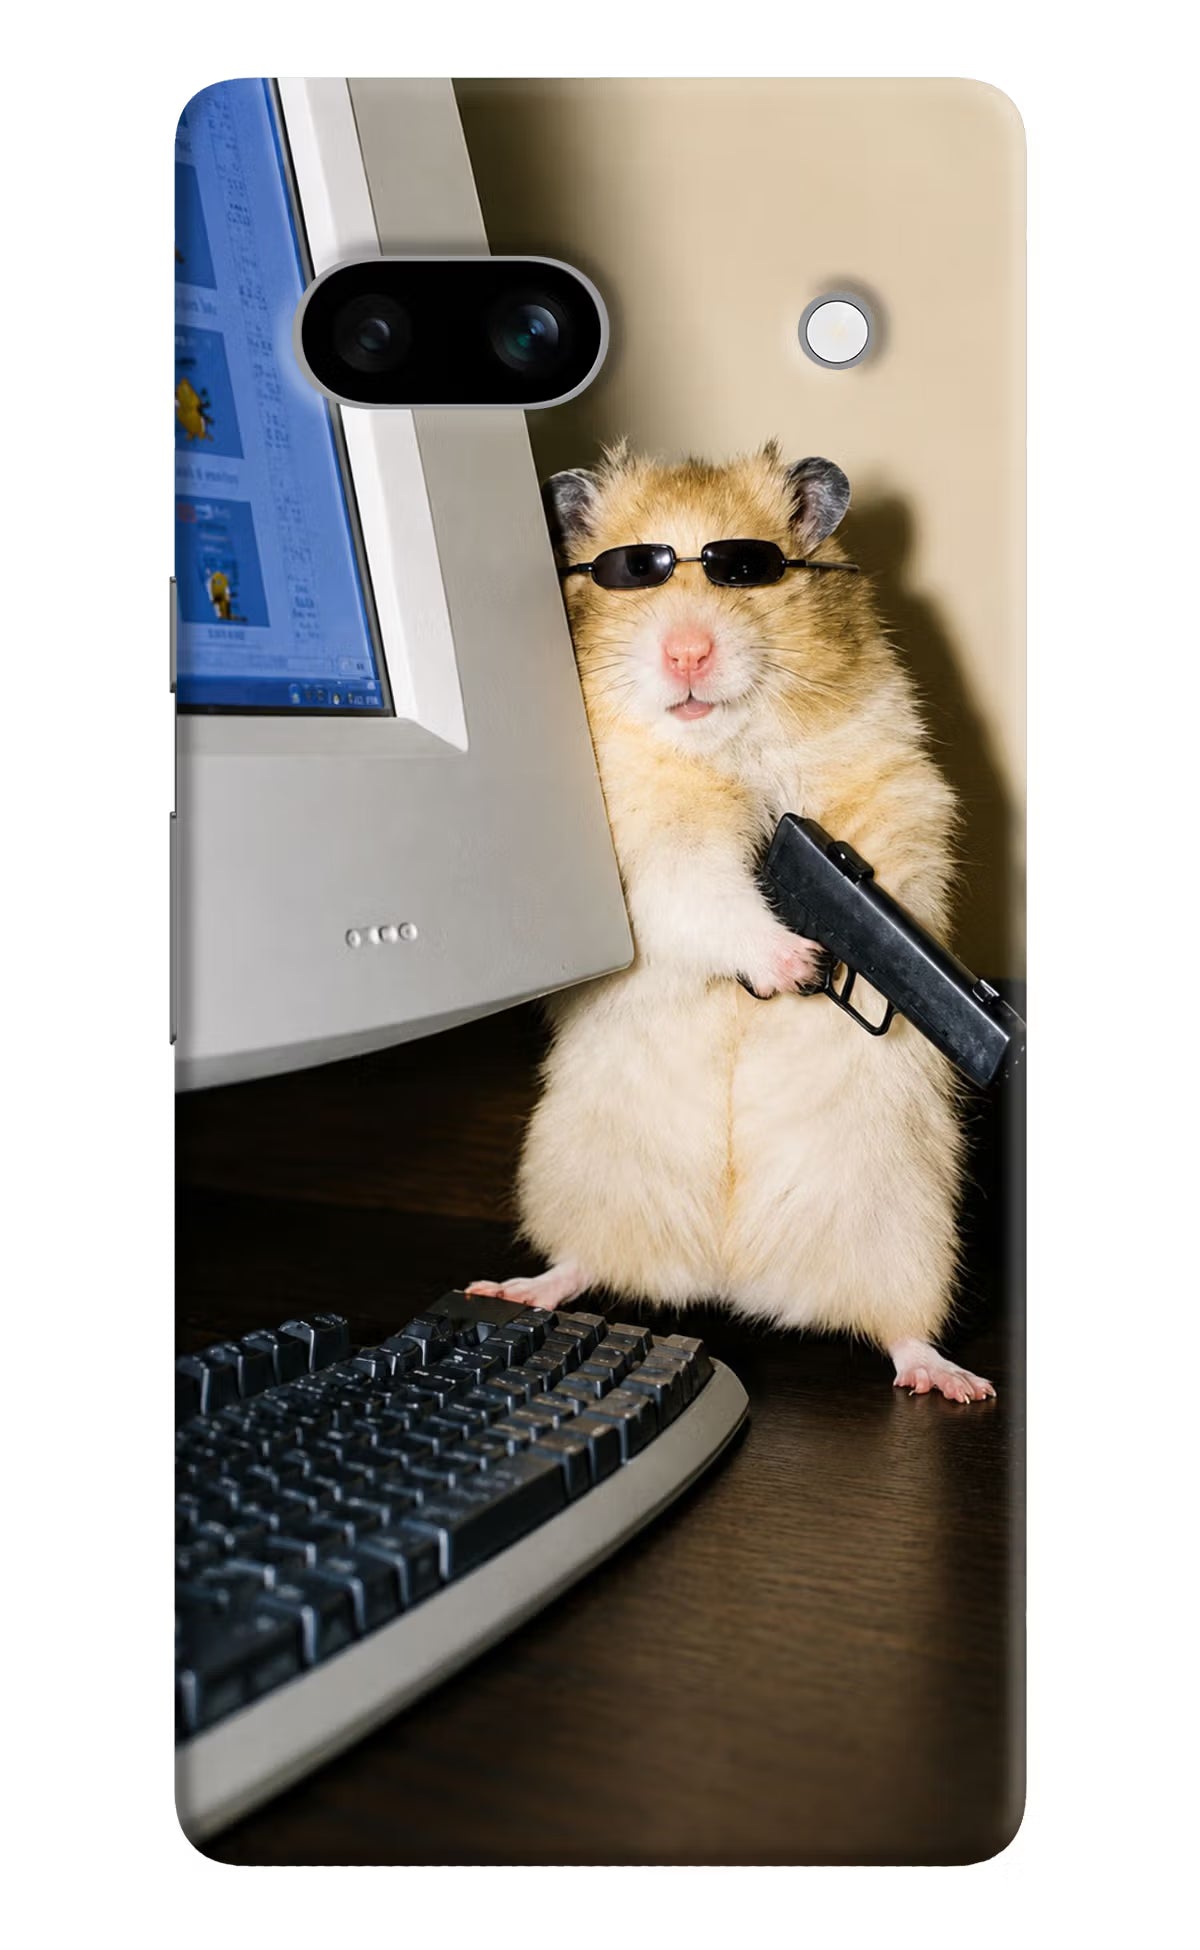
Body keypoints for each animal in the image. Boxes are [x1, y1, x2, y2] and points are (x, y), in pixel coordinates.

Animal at [468, 442, 993, 1402]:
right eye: (633, 572)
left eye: (746, 570)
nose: (686, 652)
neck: (724, 746)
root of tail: (730, 1276)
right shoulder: (647, 851)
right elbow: (707, 895)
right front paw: (796, 964)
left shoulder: (895, 790)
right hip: (579, 1176)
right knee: (582, 1263)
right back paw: (515, 1288)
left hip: (907, 1228)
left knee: (900, 1329)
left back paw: (954, 1382)